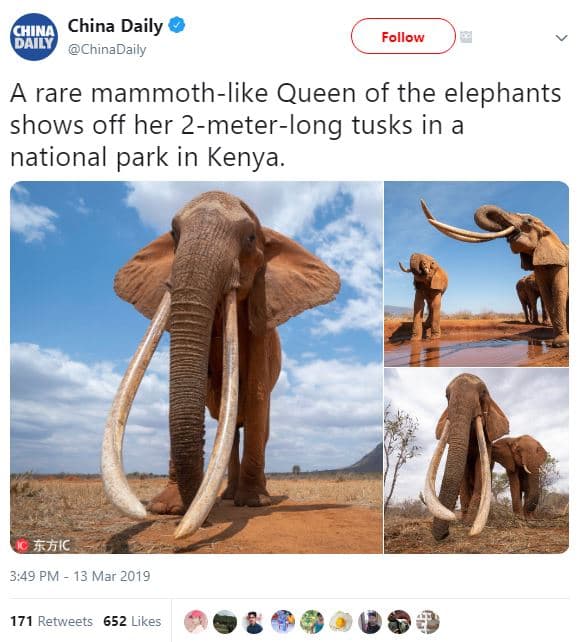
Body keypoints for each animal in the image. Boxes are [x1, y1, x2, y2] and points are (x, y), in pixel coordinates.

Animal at [101, 191, 340, 539]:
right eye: (173, 233)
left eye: (251, 238)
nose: (206, 520)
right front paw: (166, 509)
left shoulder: (261, 316)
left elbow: (256, 393)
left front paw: (254, 503)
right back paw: (226, 496)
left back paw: (247, 496)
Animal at [421, 200, 568, 347]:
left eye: (528, 221)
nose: (422, 200)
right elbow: (546, 295)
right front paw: (558, 340)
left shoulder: (560, 264)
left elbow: (557, 291)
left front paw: (559, 342)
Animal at [424, 373, 509, 540]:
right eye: (447, 396)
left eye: (483, 393)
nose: (445, 534)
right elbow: (463, 475)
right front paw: (464, 522)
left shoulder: (488, 437)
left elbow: (481, 469)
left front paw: (470, 524)